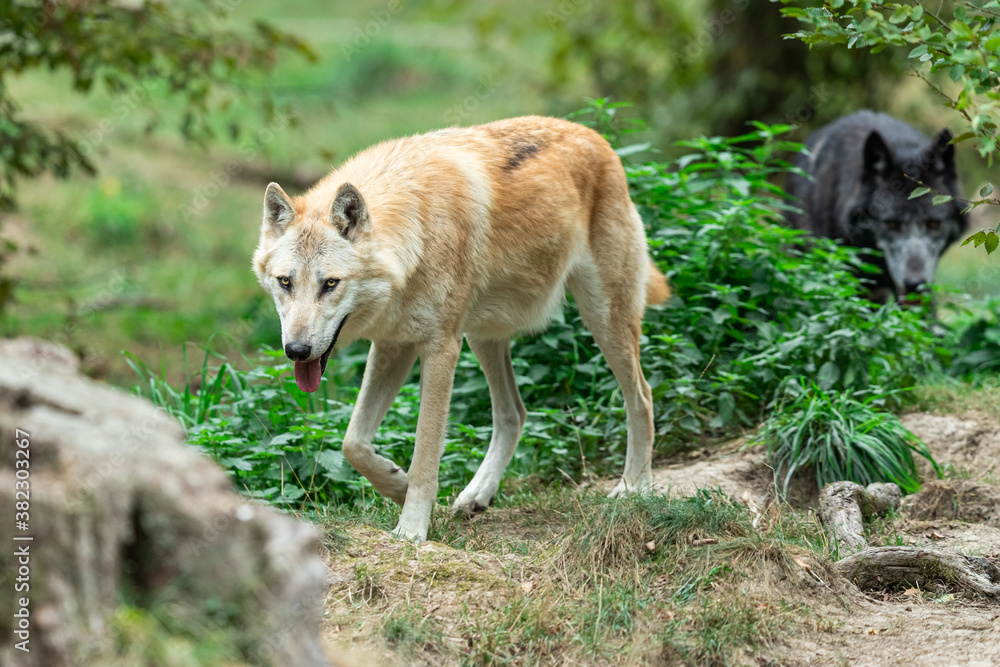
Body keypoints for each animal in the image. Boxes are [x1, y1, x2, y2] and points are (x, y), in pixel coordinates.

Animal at [253, 116, 669, 542]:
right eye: (285, 282)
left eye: (330, 283)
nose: (297, 351)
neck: (415, 235)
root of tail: (595, 136)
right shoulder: (392, 346)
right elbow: (353, 442)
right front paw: (397, 486)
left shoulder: (440, 349)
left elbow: (424, 454)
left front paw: (411, 529)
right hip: (484, 335)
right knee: (514, 413)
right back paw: (477, 495)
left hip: (601, 318)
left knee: (642, 396)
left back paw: (634, 486)